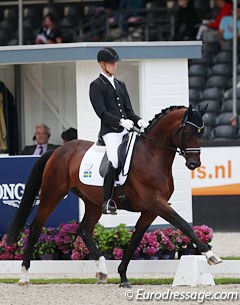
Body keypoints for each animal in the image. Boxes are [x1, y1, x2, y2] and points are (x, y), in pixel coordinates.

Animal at [6, 104, 221, 284]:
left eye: (202, 132)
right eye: (189, 131)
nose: (194, 164)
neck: (152, 156)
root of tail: (58, 150)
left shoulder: (151, 210)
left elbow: (135, 239)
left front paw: (123, 276)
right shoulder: (156, 203)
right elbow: (184, 225)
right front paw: (211, 255)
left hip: (93, 202)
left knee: (83, 230)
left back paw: (102, 271)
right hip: (52, 193)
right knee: (36, 227)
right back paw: (24, 276)